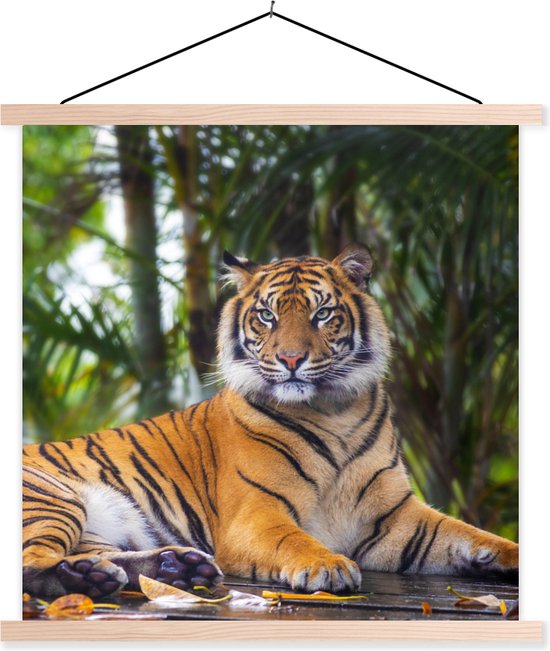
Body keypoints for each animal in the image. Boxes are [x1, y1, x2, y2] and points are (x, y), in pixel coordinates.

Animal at [23, 244, 518, 598]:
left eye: (322, 313)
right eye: (267, 315)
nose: (291, 359)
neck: (333, 411)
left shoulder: (396, 517)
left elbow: (468, 533)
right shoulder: (256, 513)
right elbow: (293, 539)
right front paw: (328, 565)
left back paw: (170, 567)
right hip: (54, 497)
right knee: (30, 565)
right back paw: (85, 578)